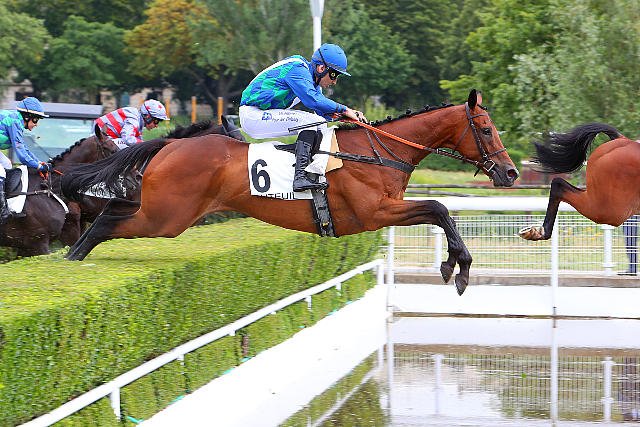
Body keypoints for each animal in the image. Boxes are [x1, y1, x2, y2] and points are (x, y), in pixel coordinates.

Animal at [62, 89, 518, 295]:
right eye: (485, 129)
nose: (511, 173)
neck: (377, 153)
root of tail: (169, 145)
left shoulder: (382, 211)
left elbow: (439, 210)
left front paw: (455, 263)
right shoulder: (375, 212)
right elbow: (438, 206)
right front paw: (458, 266)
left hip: (166, 211)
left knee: (112, 212)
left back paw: (72, 256)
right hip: (167, 217)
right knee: (108, 219)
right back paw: (73, 258)